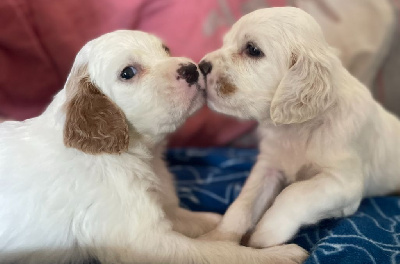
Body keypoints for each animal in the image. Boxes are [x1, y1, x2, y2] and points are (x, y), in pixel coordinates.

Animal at [0, 31, 310, 264]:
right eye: (128, 72)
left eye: (165, 49)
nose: (191, 69)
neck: (131, 152)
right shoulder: (144, 240)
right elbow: (219, 253)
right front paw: (278, 255)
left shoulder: (160, 208)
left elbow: (191, 219)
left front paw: (218, 222)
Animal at [199, 7, 400, 249]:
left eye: (253, 50)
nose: (200, 66)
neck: (298, 128)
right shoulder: (268, 166)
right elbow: (244, 202)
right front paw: (217, 240)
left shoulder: (344, 181)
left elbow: (294, 192)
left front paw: (265, 234)